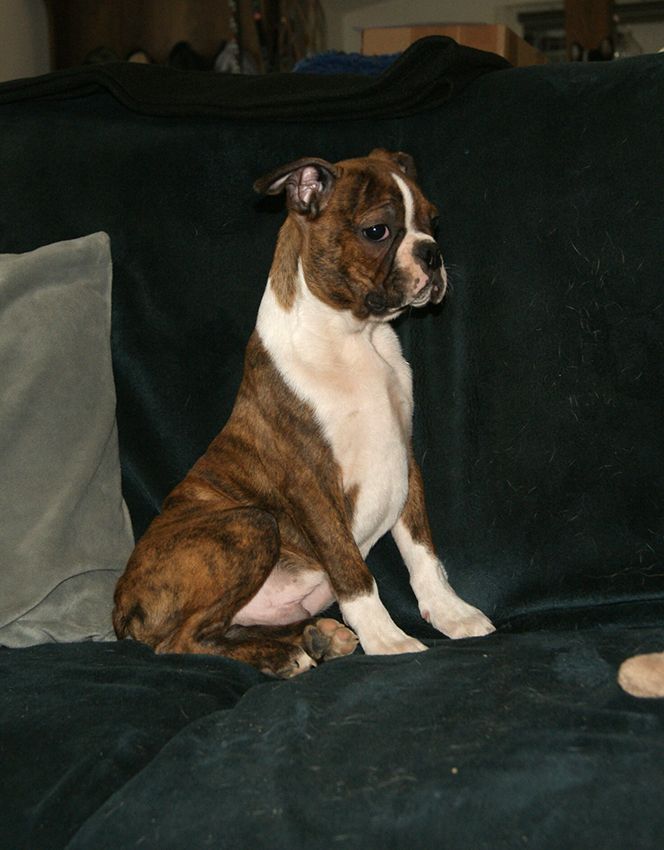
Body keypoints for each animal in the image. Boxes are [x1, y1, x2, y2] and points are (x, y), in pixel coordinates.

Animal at [113, 149, 495, 677]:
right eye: (377, 231)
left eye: (433, 222)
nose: (432, 253)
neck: (357, 337)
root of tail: (120, 607)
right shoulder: (311, 481)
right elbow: (353, 569)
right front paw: (387, 639)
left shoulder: (405, 460)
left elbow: (422, 552)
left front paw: (452, 613)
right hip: (249, 525)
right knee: (180, 640)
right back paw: (284, 655)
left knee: (223, 627)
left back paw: (316, 637)